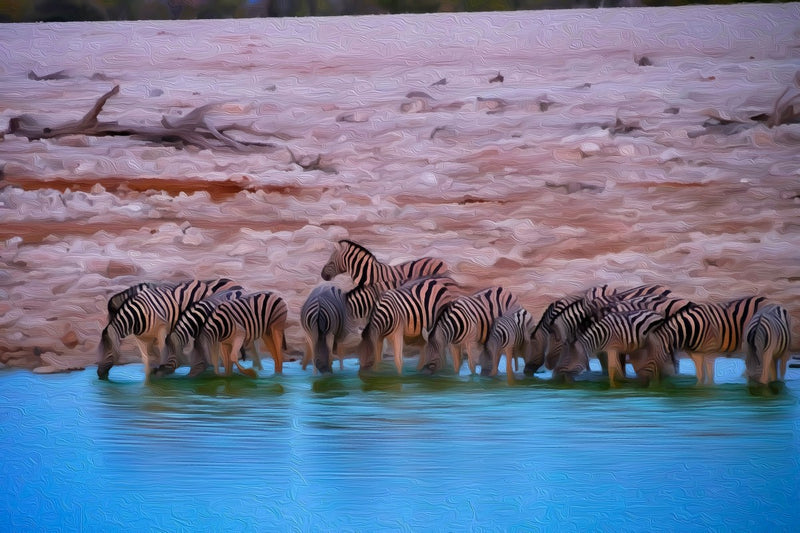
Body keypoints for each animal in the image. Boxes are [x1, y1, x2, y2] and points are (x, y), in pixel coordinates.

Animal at [97, 278, 241, 380]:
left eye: (107, 349)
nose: (99, 373)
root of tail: (235, 283)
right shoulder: (146, 337)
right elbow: (149, 356)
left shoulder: (162, 330)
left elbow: (162, 351)